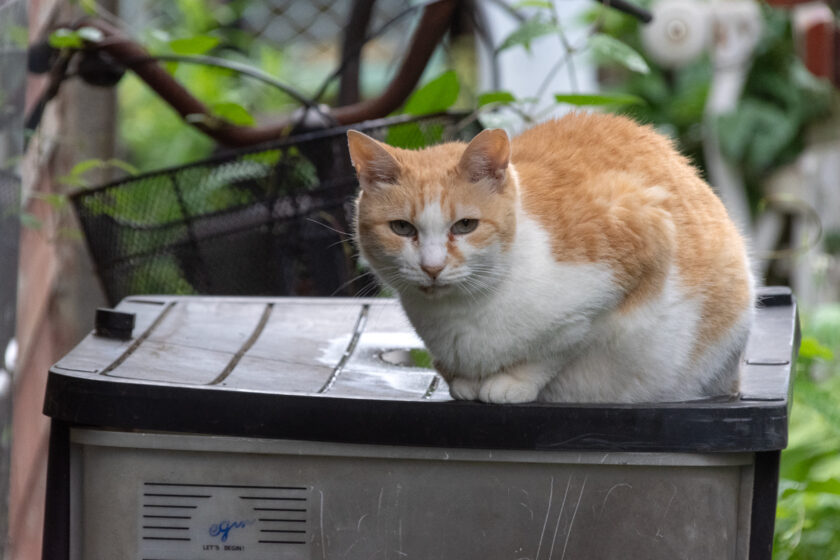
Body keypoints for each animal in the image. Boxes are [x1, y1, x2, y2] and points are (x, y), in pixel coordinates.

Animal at [348, 114, 756, 402]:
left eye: (465, 225)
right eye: (402, 228)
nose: (432, 267)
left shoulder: (641, 237)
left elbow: (556, 347)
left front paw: (511, 382)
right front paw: (464, 381)